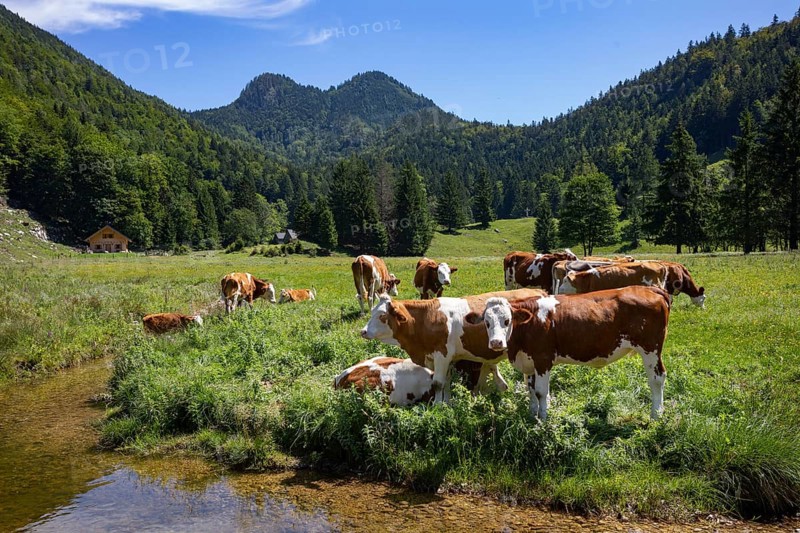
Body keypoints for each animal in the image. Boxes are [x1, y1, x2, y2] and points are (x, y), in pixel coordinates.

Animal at [360, 288, 547, 403]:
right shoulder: (442, 358)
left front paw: (436, 406)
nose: (363, 331)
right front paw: (446, 403)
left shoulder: (441, 355)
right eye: (372, 312)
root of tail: (538, 291)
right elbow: (447, 381)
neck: (426, 318)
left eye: (382, 316)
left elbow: (437, 383)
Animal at [476, 286, 672, 421]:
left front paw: (543, 420)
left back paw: (656, 415)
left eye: (507, 320)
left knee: (657, 379)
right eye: (486, 322)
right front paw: (532, 416)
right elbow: (531, 390)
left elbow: (541, 392)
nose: (496, 342)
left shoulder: (543, 359)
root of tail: (648, 288)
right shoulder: (529, 361)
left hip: (650, 349)